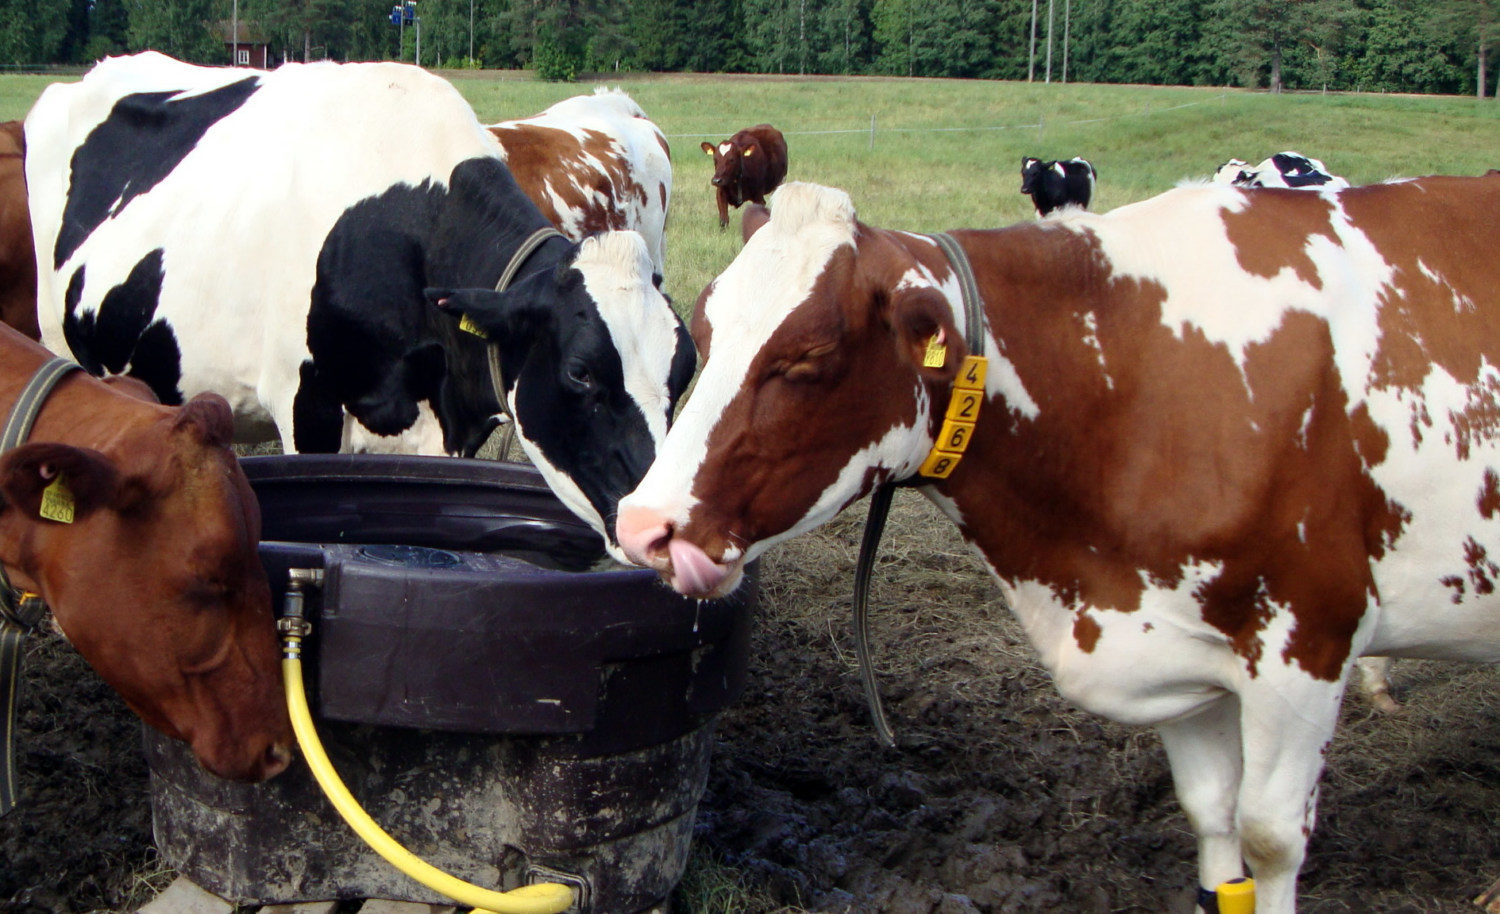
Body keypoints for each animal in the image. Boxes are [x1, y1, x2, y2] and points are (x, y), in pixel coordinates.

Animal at [615, 174, 1500, 906]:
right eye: (704, 327)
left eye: (807, 356)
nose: (643, 524)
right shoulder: (1174, 639)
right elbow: (1214, 823)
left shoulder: (1306, 641)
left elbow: (1271, 838)